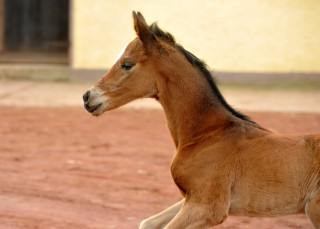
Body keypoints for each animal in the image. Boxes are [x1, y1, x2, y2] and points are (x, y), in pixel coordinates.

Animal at [83, 11, 320, 229]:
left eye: (127, 64)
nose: (87, 97)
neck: (207, 133)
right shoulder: (191, 198)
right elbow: (148, 223)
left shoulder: (209, 206)